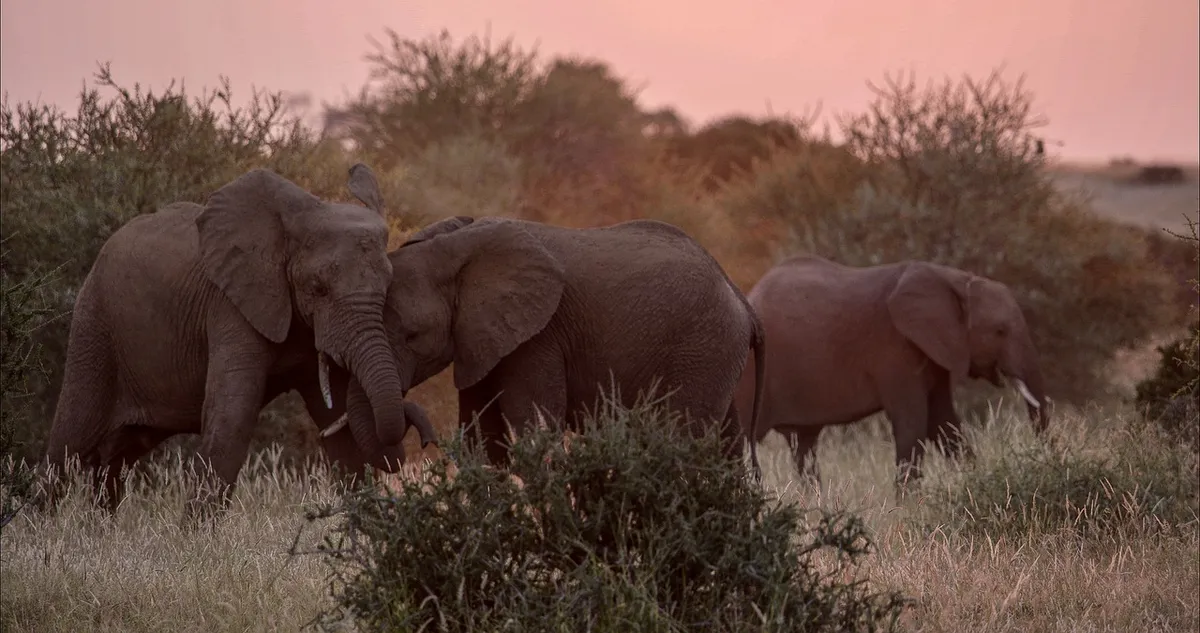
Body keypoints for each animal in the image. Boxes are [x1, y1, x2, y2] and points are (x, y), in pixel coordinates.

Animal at [43, 164, 435, 515]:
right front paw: (196, 539)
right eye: (318, 288)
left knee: (115, 459)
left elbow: (338, 425)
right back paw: (44, 528)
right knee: (68, 444)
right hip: (94, 327)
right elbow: (233, 414)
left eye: (388, 287)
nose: (421, 440)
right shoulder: (230, 306)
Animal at [320, 215, 766, 474]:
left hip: (702, 348)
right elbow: (483, 439)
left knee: (684, 441)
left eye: (412, 335)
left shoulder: (538, 336)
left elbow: (534, 432)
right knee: (727, 447)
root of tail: (739, 295)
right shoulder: (482, 339)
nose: (423, 439)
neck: (455, 246)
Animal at [732, 255, 1049, 482]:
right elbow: (913, 423)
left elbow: (944, 423)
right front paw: (907, 507)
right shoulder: (895, 351)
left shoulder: (934, 353)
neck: (954, 279)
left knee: (804, 447)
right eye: (1000, 331)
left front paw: (970, 480)